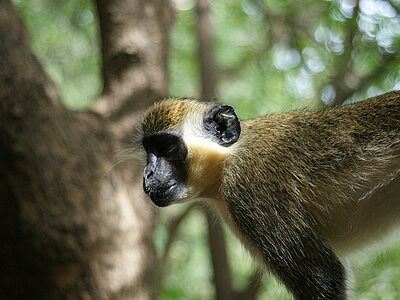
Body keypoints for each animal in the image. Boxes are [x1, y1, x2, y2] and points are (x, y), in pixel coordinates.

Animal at [135, 90, 400, 298]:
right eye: (149, 149)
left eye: (166, 147)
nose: (147, 174)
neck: (227, 159)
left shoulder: (248, 183)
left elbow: (324, 278)